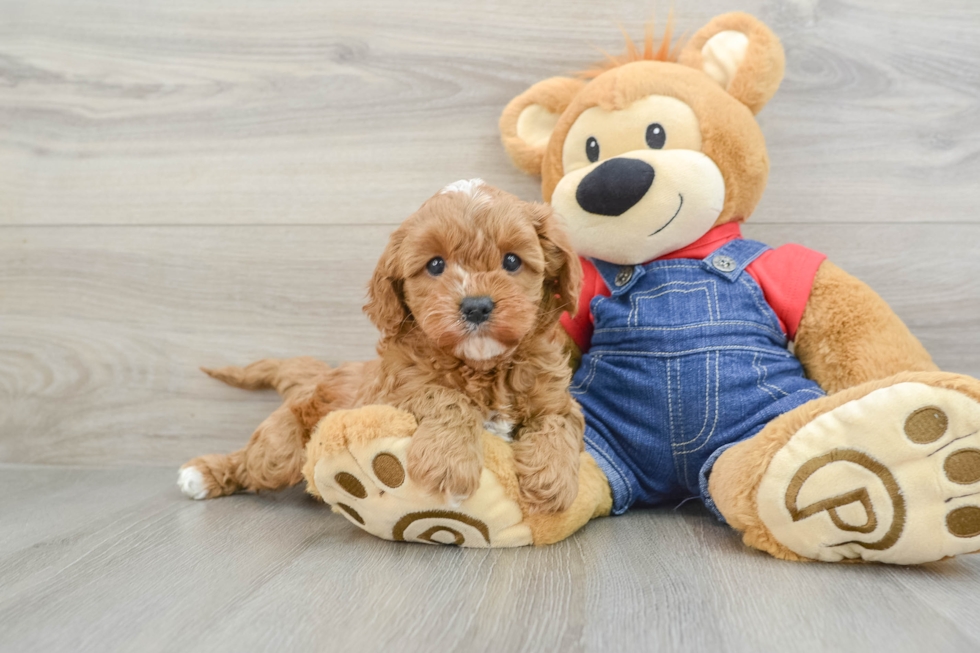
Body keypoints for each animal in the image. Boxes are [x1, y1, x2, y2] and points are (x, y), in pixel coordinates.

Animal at [178, 181, 580, 512]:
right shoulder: (394, 395)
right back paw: (201, 475)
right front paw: (448, 464)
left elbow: (559, 422)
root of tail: (325, 373)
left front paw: (554, 480)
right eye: (436, 265)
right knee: (255, 462)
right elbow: (446, 397)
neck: (482, 366)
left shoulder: (555, 397)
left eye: (511, 260)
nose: (477, 306)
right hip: (283, 447)